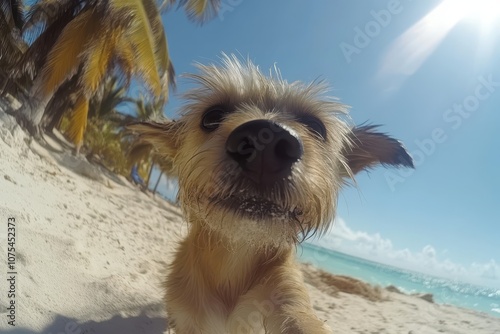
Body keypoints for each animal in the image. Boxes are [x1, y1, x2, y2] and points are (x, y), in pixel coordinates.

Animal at [130, 56, 414, 332]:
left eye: (316, 127)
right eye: (212, 116)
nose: (264, 140)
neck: (236, 256)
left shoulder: (286, 294)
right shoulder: (187, 321)